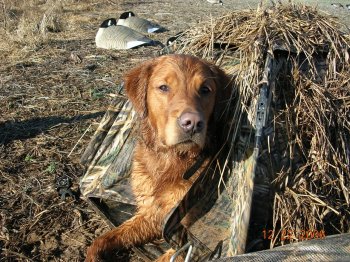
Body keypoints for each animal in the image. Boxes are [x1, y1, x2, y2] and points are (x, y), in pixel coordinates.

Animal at [86, 54, 231, 260]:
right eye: (163, 87)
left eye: (205, 90)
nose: (193, 123)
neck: (169, 160)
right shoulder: (152, 215)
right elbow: (103, 239)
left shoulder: (190, 243)